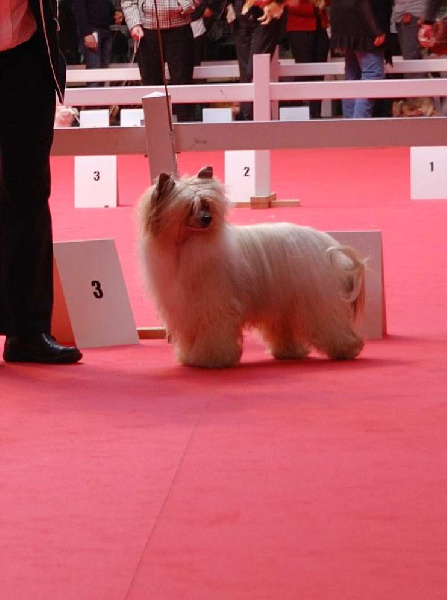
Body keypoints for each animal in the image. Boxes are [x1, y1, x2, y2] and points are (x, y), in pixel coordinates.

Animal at [138, 166, 366, 368]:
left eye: (207, 205)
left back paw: (347, 350)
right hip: (285, 303)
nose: (207, 219)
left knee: (332, 325)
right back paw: (289, 352)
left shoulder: (214, 307)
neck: (186, 246)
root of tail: (327, 243)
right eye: (189, 207)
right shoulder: (185, 309)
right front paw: (190, 358)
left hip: (315, 301)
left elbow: (214, 333)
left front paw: (211, 359)